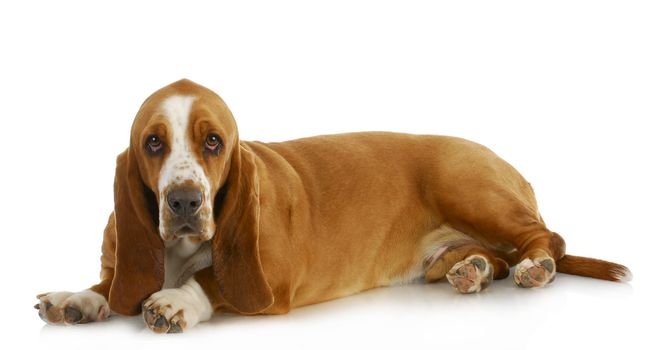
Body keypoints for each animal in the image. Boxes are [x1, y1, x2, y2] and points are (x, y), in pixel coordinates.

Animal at [35, 79, 632, 334]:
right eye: (153, 143)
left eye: (213, 142)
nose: (184, 200)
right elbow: (111, 283)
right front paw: (79, 298)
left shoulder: (274, 280)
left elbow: (211, 281)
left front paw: (178, 300)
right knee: (494, 259)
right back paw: (475, 270)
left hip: (470, 189)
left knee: (548, 239)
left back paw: (534, 267)